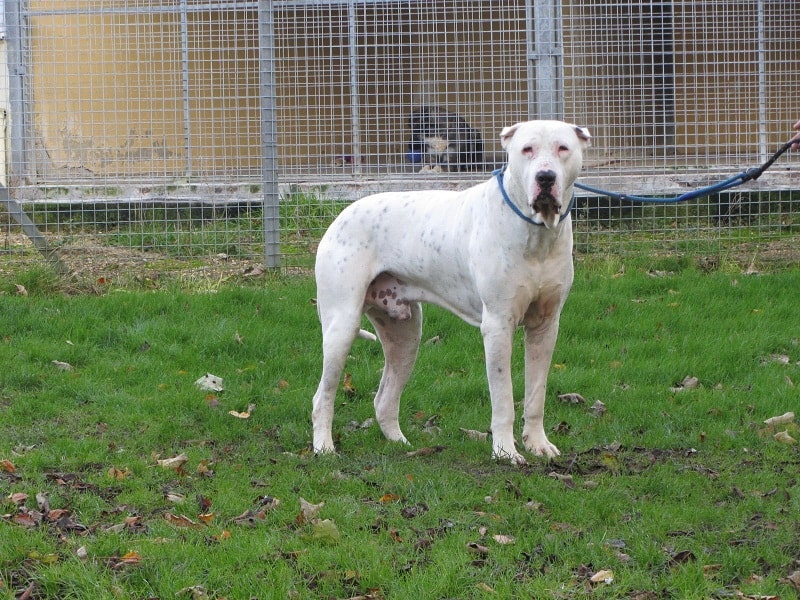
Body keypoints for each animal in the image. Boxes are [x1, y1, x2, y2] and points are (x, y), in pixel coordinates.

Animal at [310, 118, 588, 464]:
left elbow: (536, 395)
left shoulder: (545, 327)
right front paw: (505, 452)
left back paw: (400, 443)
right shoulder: (498, 326)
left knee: (384, 397)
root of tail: (341, 216)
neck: (535, 233)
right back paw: (324, 447)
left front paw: (538, 444)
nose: (545, 177)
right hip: (342, 327)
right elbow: (504, 399)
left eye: (563, 148)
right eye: (527, 149)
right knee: (323, 396)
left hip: (406, 336)